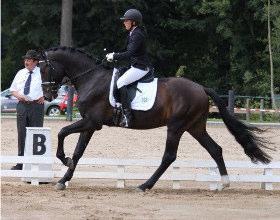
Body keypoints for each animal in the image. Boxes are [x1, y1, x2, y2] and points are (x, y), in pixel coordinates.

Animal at [38, 46, 272, 191]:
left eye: (45, 68)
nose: (48, 96)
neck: (91, 78)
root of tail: (201, 88)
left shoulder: (92, 122)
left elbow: (62, 133)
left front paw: (63, 159)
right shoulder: (89, 125)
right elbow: (78, 152)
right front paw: (63, 179)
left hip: (176, 127)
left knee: (169, 156)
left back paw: (145, 185)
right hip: (195, 127)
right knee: (215, 149)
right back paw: (224, 183)